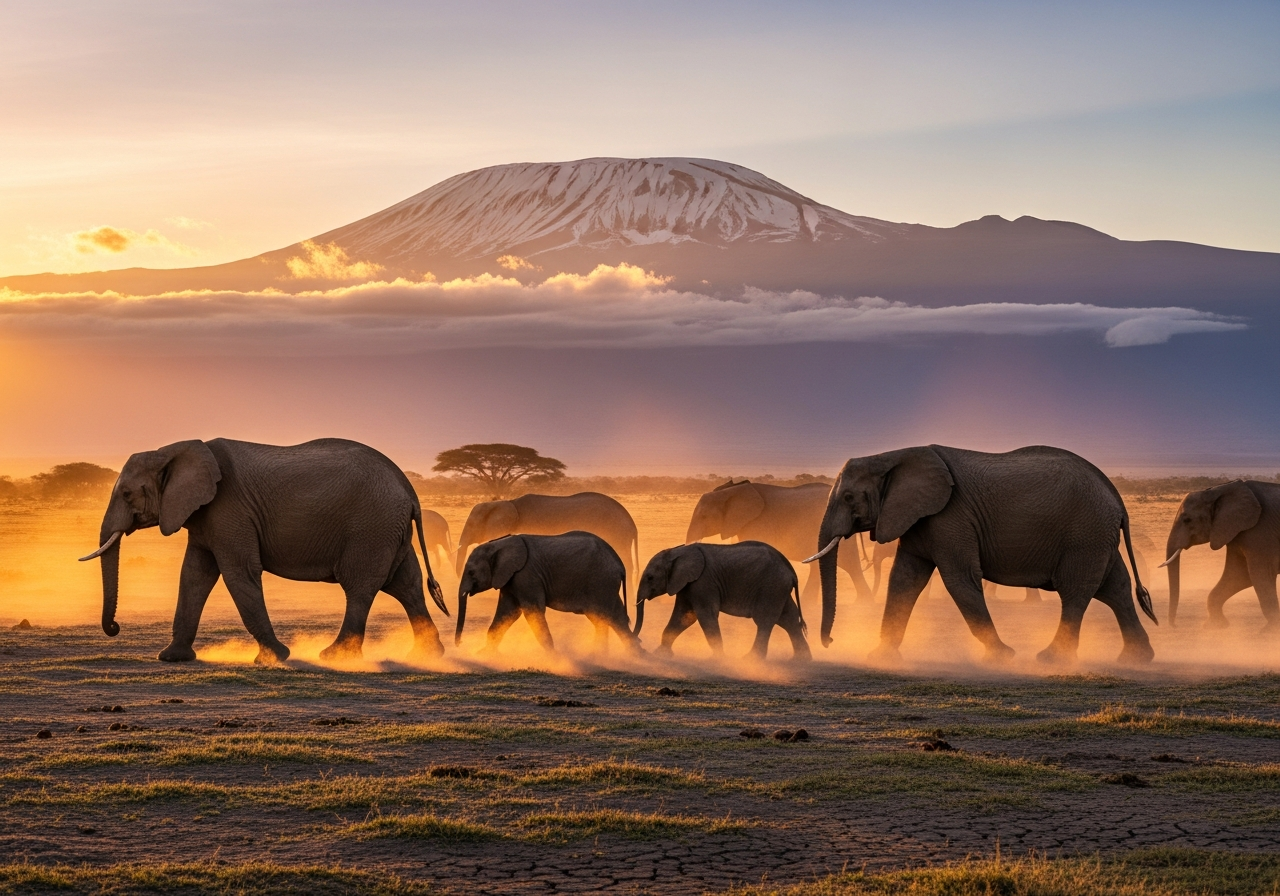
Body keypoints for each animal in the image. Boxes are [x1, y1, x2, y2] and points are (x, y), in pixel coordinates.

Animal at [80, 438, 448, 664]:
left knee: (360, 587)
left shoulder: (229, 510)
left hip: (371, 527)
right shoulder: (205, 516)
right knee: (407, 585)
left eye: (127, 494)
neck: (174, 449)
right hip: (388, 529)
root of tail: (409, 489)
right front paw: (171, 658)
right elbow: (195, 576)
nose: (115, 627)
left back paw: (334, 656)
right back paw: (427, 656)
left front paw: (275, 658)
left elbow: (238, 573)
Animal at [455, 531, 640, 654]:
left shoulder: (526, 575)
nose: (459, 644)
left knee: (605, 616)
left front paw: (552, 656)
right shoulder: (510, 578)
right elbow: (508, 612)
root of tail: (620, 564)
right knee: (613, 616)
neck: (498, 543)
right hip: (605, 584)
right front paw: (484, 654)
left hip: (601, 582)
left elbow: (532, 611)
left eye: (471, 572)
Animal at [635, 542, 810, 660]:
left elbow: (704, 616)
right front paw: (660, 654)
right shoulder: (687, 584)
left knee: (765, 621)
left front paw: (717, 659)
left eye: (650, 578)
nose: (640, 642)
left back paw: (751, 659)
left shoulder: (703, 582)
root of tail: (791, 571)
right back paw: (801, 660)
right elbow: (683, 616)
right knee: (789, 620)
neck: (676, 551)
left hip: (771, 587)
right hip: (779, 589)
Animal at [811, 445, 1156, 664]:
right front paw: (881, 657)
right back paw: (1136, 659)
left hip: (1085, 534)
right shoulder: (919, 518)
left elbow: (960, 580)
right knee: (1115, 589)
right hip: (1097, 535)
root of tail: (1115, 496)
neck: (891, 456)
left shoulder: (950, 517)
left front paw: (1003, 656)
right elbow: (904, 580)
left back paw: (1050, 660)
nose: (829, 642)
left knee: (1076, 592)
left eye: (849, 497)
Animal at [1162, 479, 1280, 630]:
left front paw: (1270, 631)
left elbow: (1260, 575)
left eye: (1187, 520)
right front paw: (1215, 625)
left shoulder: (1260, 531)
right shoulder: (1236, 532)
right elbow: (1239, 576)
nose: (1175, 625)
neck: (1219, 490)